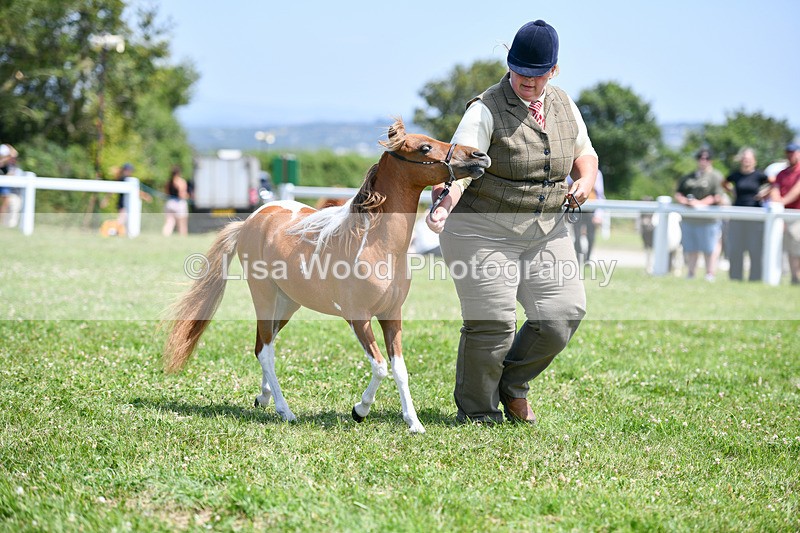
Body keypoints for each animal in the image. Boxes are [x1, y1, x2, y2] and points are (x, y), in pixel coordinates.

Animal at [163, 119, 490, 433]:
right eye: (425, 148)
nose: (479, 156)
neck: (375, 244)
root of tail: (249, 222)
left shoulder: (391, 315)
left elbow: (399, 369)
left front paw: (414, 424)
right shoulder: (358, 318)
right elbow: (380, 367)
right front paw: (360, 410)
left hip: (287, 304)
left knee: (262, 346)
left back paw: (264, 398)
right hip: (264, 297)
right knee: (266, 352)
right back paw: (285, 411)